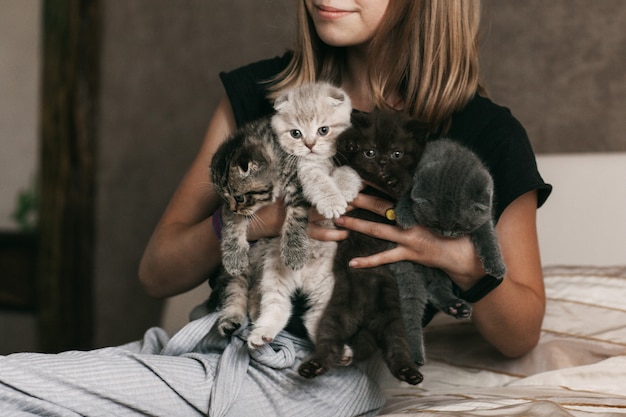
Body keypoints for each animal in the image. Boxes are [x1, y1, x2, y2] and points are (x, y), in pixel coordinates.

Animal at [298, 109, 428, 384]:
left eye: (396, 153)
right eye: (369, 152)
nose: (382, 162)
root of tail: (366, 318)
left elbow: (407, 184)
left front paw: (396, 179)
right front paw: (349, 141)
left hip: (393, 317)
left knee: (396, 348)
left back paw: (408, 371)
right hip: (338, 312)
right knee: (329, 343)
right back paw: (313, 366)